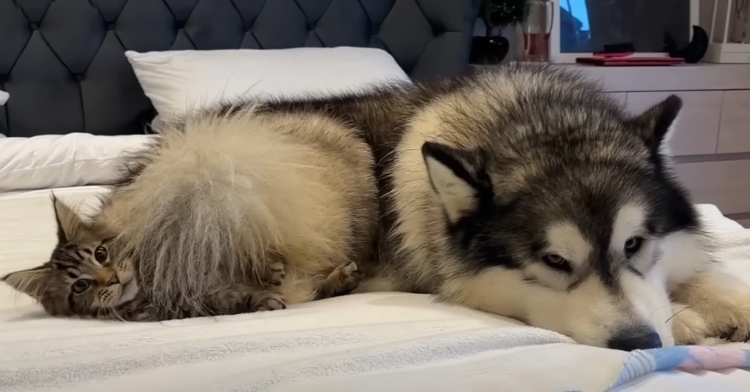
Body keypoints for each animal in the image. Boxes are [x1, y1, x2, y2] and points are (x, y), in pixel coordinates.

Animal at [2, 106, 374, 318]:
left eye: (101, 253)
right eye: (80, 286)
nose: (111, 279)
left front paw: (267, 269)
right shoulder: (187, 304)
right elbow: (234, 298)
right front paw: (262, 298)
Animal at [258, 63, 750, 350]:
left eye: (633, 244)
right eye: (555, 261)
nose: (639, 342)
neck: (533, 119)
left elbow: (705, 275)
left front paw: (724, 305)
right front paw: (686, 320)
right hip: (341, 148)